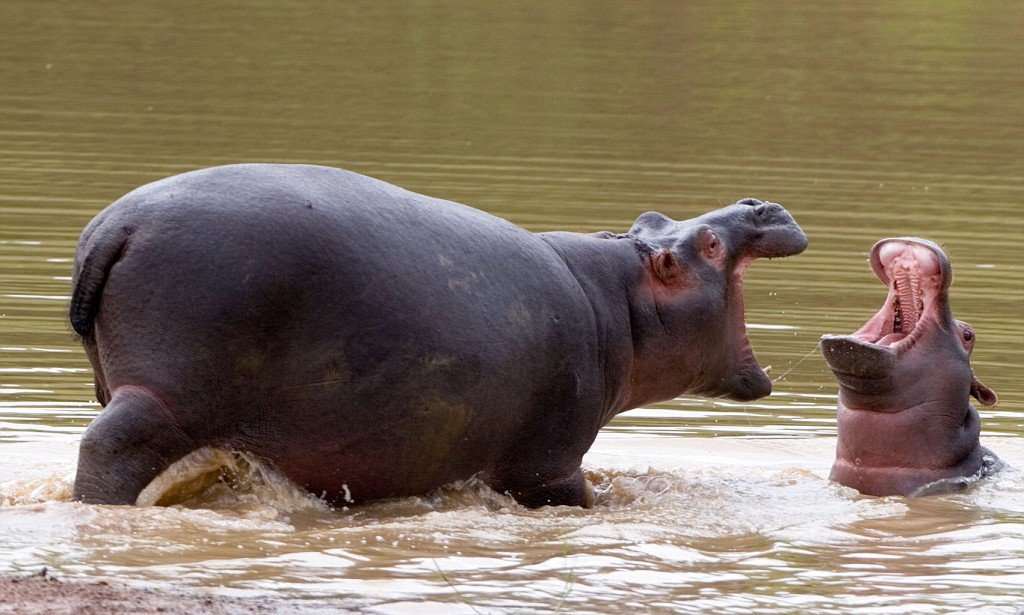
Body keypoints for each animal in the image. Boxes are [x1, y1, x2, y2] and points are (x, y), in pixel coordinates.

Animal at [70, 162, 806, 507]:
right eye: (708, 245)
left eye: (653, 217)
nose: (756, 201)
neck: (618, 302)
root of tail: (117, 225)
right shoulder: (548, 465)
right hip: (165, 399)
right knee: (108, 447)